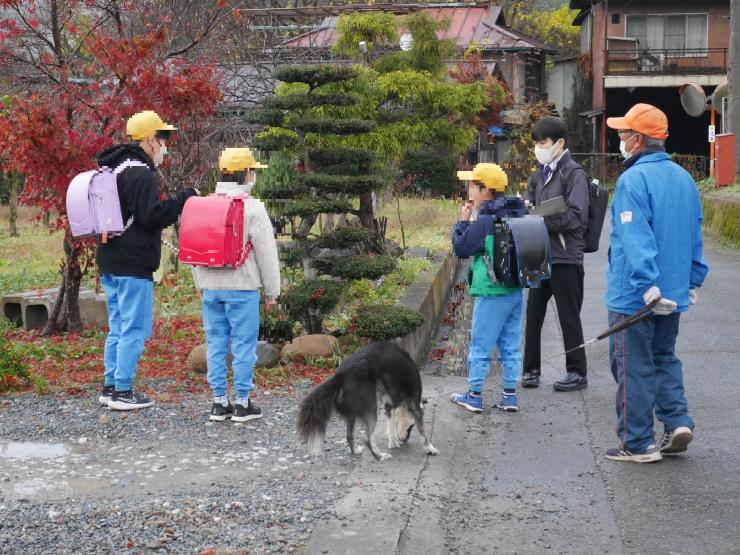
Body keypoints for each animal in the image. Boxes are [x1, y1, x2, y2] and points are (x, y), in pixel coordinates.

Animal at [296, 344, 440, 460]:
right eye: (411, 426)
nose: (405, 440)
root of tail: (341, 376)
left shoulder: (389, 405)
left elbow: (391, 426)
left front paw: (393, 442)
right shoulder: (414, 404)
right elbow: (423, 431)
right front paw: (429, 449)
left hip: (351, 414)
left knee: (349, 435)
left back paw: (356, 451)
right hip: (371, 409)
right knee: (367, 439)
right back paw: (380, 456)